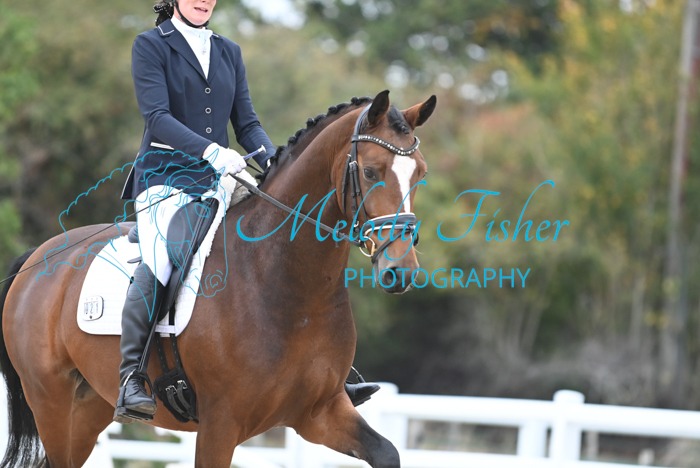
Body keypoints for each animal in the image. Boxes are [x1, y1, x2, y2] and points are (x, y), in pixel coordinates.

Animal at [0, 89, 436, 467]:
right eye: (371, 171)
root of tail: (38, 256)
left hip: (90, 406)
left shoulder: (319, 412)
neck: (287, 284)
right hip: (51, 401)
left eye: (419, 174)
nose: (401, 271)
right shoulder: (220, 425)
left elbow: (386, 453)